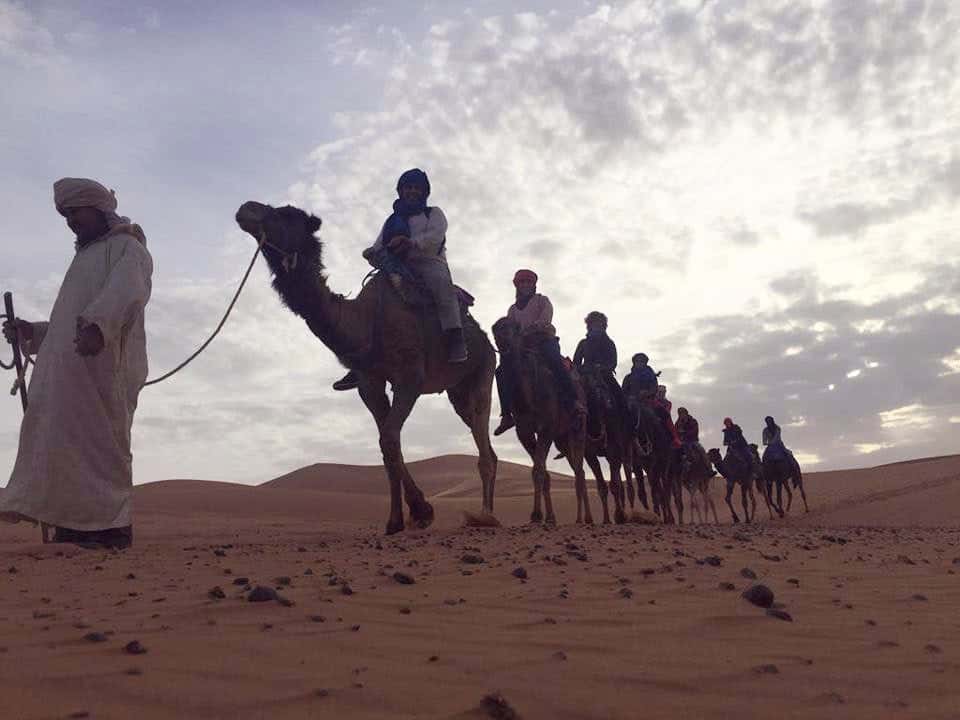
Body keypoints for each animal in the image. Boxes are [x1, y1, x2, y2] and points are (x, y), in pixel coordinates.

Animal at [235, 202, 498, 535]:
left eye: (287, 215)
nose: (246, 209)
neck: (364, 321)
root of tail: (486, 341)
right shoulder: (369, 384)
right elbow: (388, 445)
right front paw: (399, 519)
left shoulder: (410, 378)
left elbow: (389, 438)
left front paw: (420, 511)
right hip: (457, 391)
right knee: (484, 443)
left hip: (483, 372)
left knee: (483, 443)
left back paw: (485, 517)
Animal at [492, 318, 593, 524]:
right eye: (495, 330)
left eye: (513, 328)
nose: (503, 342)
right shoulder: (524, 432)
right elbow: (542, 471)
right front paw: (549, 517)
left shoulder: (546, 428)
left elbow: (538, 470)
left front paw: (537, 515)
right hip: (562, 439)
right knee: (577, 470)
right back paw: (579, 518)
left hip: (578, 429)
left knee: (580, 471)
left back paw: (586, 518)